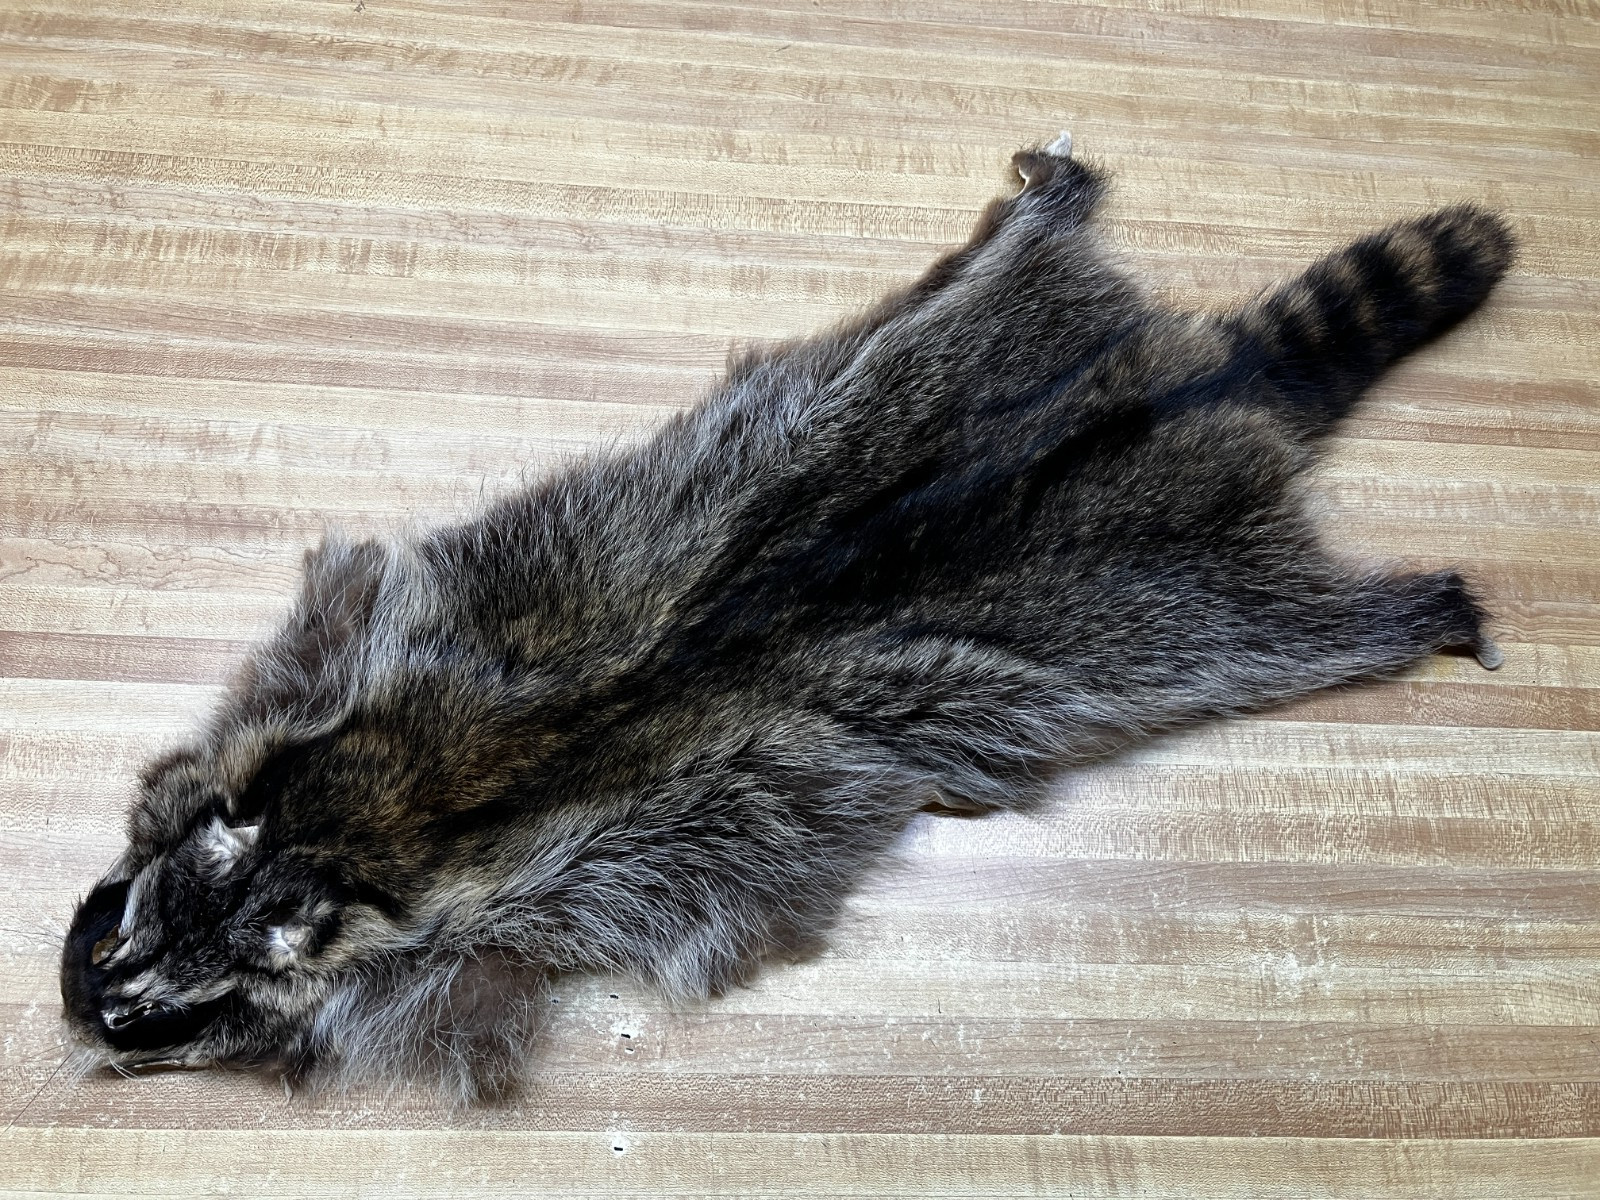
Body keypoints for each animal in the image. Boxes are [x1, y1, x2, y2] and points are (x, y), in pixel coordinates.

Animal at [60, 134, 1513, 1103]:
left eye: (179, 994)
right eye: (134, 935)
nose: (87, 1005)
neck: (346, 835)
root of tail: (1211, 382)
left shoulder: (458, 879)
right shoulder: (351, 683)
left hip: (1151, 611)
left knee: (1239, 645)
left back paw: (1405, 612)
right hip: (933, 364)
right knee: (955, 306)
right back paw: (1034, 221)